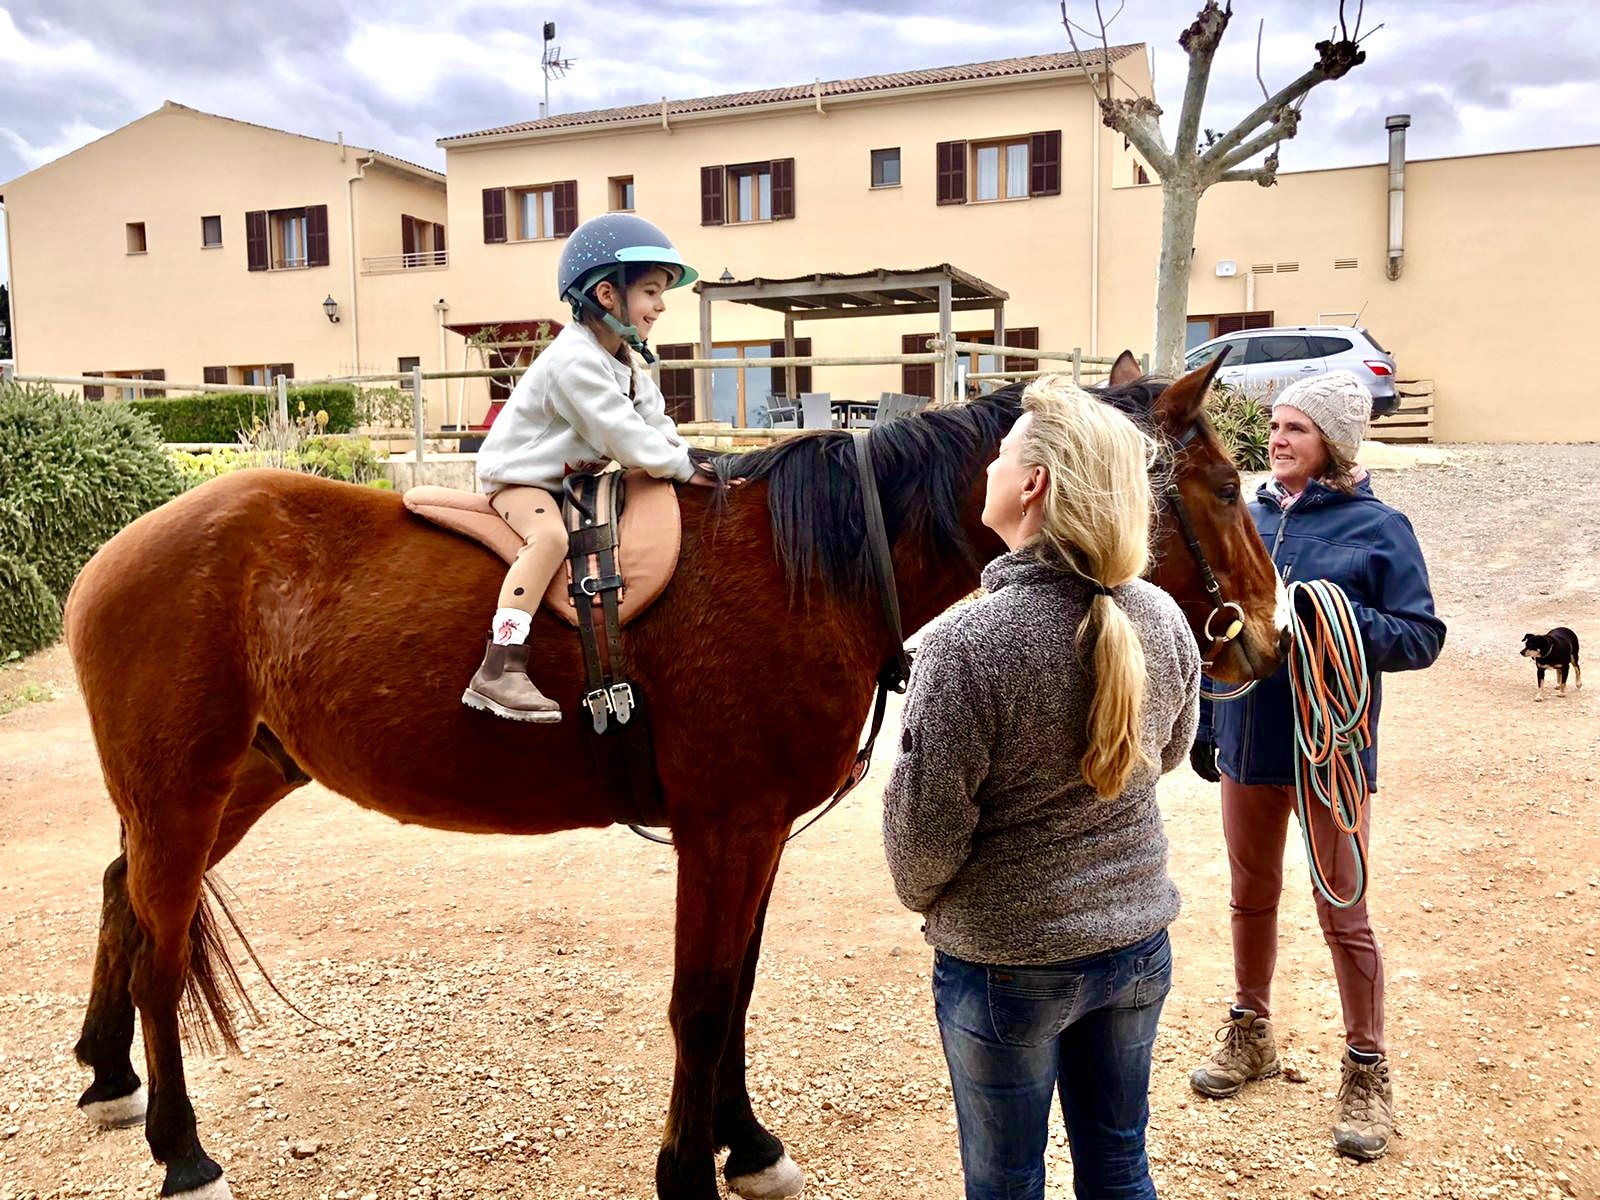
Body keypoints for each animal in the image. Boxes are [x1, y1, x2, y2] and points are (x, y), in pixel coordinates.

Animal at [65, 352, 1286, 1196]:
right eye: (1228, 487)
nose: (1269, 639)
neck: (819, 567)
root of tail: (116, 552)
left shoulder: (755, 834)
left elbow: (733, 992)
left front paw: (746, 1145)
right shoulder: (726, 828)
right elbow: (700, 1001)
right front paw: (687, 1167)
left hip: (237, 781)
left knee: (122, 897)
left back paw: (108, 1072)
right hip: (183, 790)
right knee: (161, 949)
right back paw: (182, 1150)